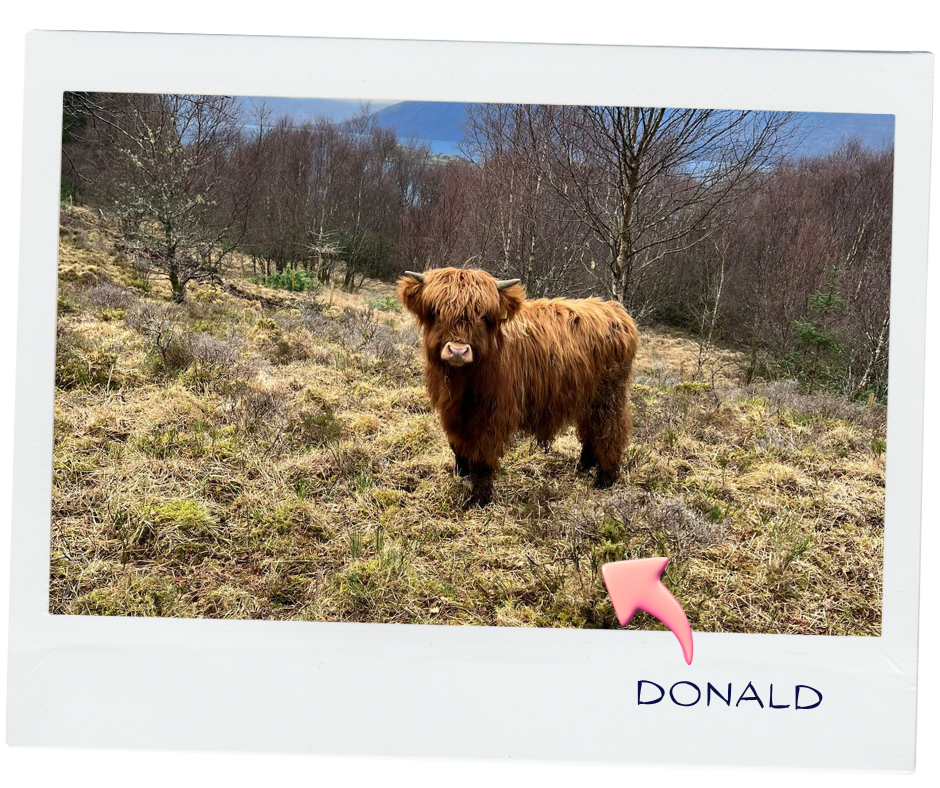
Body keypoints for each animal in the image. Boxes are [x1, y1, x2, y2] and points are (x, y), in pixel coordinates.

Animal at [398, 267, 639, 507]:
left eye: (482, 316)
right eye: (437, 311)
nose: (458, 351)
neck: (463, 380)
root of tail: (614, 310)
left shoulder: (492, 413)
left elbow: (483, 458)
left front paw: (479, 499)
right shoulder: (451, 410)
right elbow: (457, 444)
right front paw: (462, 472)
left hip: (609, 395)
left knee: (611, 430)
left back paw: (605, 478)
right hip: (587, 396)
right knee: (591, 427)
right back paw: (584, 464)